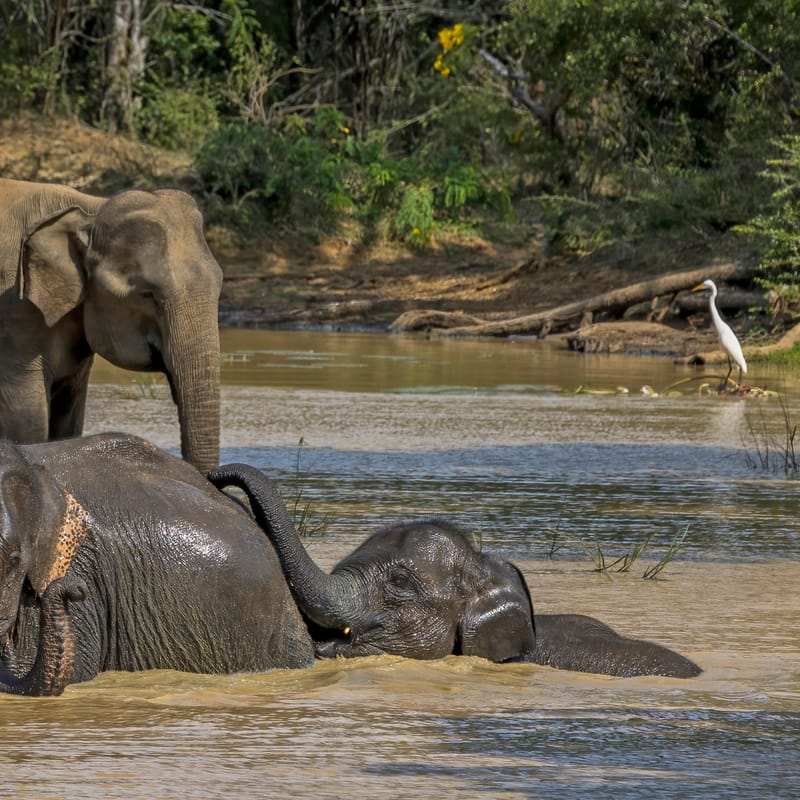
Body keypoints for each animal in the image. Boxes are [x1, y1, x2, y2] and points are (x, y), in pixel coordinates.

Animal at [0, 178, 222, 473]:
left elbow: (68, 422)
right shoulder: (15, 315)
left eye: (219, 285)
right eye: (147, 294)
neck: (90, 210)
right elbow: (28, 424)